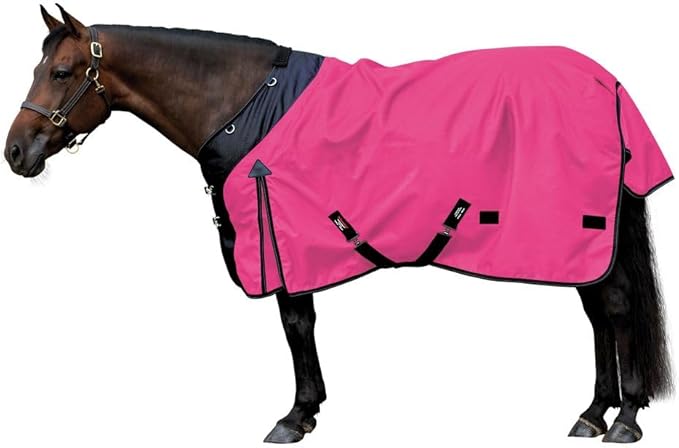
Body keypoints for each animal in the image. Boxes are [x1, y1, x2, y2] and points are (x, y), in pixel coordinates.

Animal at [3, 5, 673, 444]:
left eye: (61, 72)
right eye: (37, 69)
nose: (15, 152)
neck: (247, 104)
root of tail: (607, 81)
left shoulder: (285, 237)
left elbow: (296, 326)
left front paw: (296, 416)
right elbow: (300, 327)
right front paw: (310, 409)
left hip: (584, 232)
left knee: (614, 307)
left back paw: (624, 419)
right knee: (596, 312)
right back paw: (593, 412)